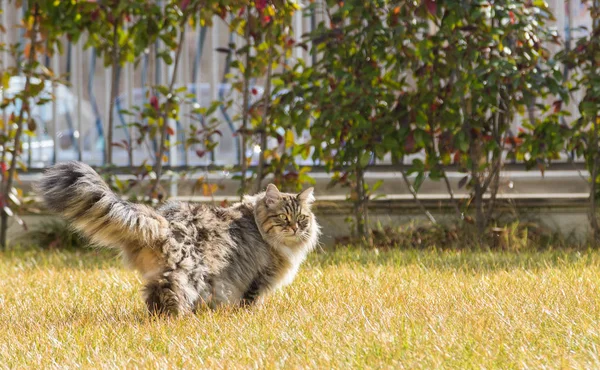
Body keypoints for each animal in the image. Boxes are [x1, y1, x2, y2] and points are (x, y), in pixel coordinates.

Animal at [37, 162, 318, 316]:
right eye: (283, 218)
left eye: (302, 219)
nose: (295, 228)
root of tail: (163, 220)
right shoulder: (258, 277)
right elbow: (250, 301)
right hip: (189, 271)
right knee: (169, 290)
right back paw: (173, 317)